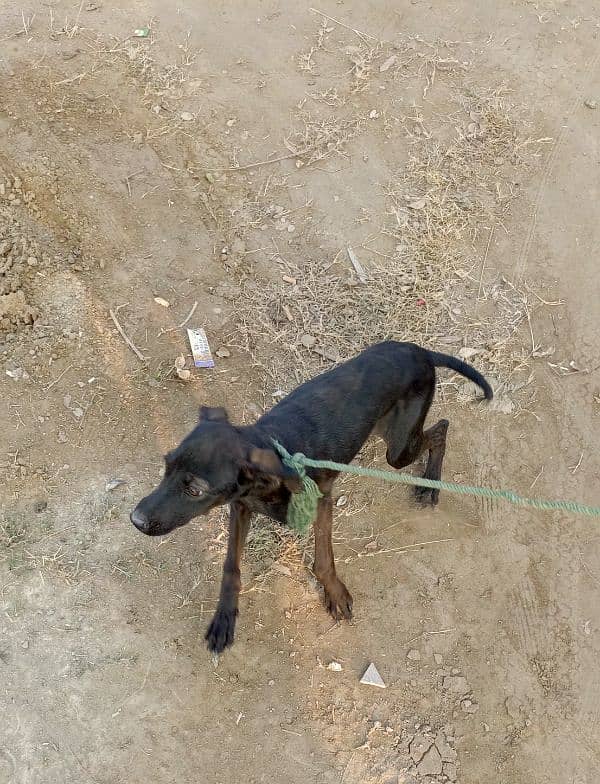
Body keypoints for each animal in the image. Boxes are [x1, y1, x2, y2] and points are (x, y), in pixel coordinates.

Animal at [131, 340, 492, 652]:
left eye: (195, 490)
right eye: (166, 466)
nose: (135, 520)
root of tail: (420, 351)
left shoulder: (322, 502)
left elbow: (322, 560)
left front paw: (334, 593)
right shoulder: (241, 506)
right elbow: (231, 565)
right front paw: (224, 618)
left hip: (399, 448)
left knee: (441, 429)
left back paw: (431, 483)